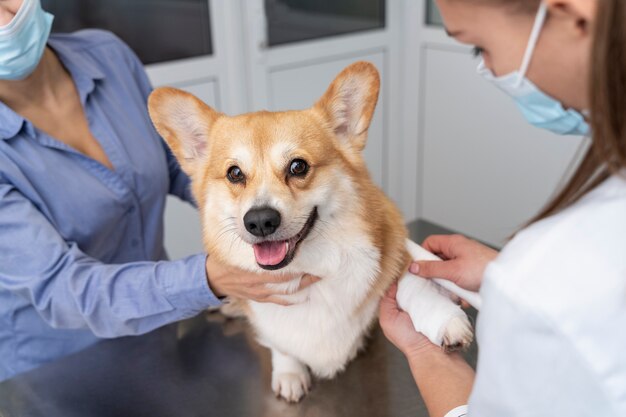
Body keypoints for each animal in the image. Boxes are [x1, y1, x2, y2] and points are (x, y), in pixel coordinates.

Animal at [149, 61, 470, 400]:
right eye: (234, 173)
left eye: (298, 166)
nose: (260, 221)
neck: (313, 268)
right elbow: (279, 343)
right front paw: (289, 372)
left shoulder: (395, 244)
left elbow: (412, 280)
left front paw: (443, 319)